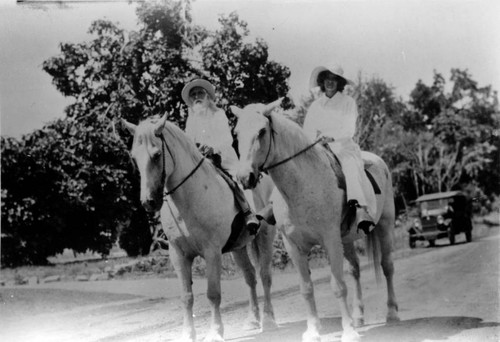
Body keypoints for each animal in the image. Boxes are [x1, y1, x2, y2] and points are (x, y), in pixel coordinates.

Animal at [121, 115, 278, 342]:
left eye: (157, 154)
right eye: (134, 157)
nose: (149, 202)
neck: (188, 200)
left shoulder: (212, 252)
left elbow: (213, 294)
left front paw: (215, 332)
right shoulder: (179, 255)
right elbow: (186, 296)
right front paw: (188, 334)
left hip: (265, 237)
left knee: (265, 276)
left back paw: (269, 320)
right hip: (239, 247)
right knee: (250, 277)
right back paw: (252, 320)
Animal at [230, 101, 398, 342]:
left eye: (262, 131)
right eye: (236, 134)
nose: (245, 178)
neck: (303, 183)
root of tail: (378, 161)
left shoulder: (329, 240)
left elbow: (338, 286)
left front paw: (348, 332)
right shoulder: (294, 245)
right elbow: (306, 288)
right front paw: (313, 331)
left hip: (385, 225)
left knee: (387, 266)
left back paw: (391, 313)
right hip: (346, 239)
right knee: (355, 270)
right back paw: (358, 317)